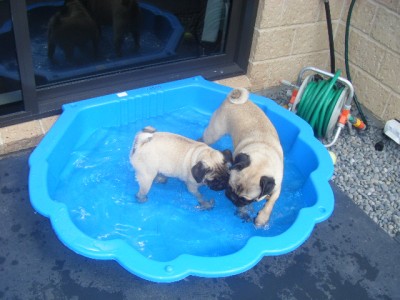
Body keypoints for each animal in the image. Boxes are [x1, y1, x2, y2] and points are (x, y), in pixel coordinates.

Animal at [202, 88, 282, 226]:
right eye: (230, 187)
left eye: (246, 199)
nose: (232, 197)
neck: (263, 159)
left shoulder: (277, 187)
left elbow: (271, 201)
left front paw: (262, 217)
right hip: (214, 133)